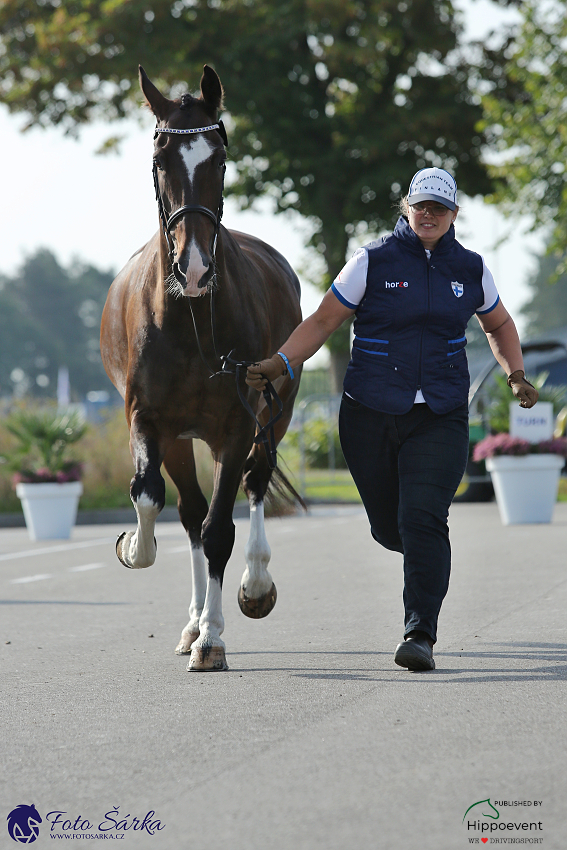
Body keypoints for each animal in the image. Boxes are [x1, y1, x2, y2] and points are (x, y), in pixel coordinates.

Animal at [98, 64, 302, 668]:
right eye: (160, 159)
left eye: (220, 159)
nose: (193, 268)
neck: (188, 319)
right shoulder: (149, 420)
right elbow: (150, 496)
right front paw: (135, 547)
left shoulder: (236, 426)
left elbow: (219, 529)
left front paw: (213, 638)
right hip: (183, 437)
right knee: (188, 512)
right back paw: (191, 621)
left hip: (273, 415)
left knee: (254, 486)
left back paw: (253, 588)